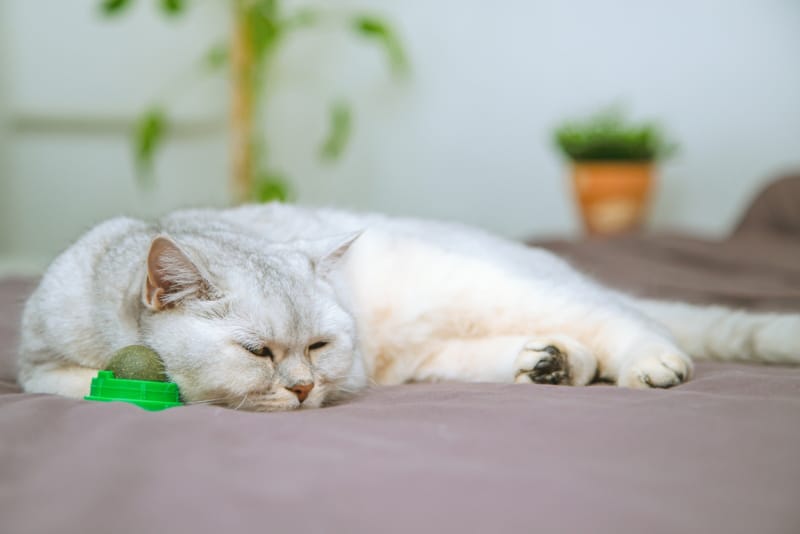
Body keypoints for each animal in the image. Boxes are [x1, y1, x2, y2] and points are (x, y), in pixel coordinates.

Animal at [18, 203, 800, 412]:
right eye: (258, 351)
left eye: (319, 347)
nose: (303, 387)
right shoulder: (37, 366)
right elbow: (74, 384)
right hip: (446, 347)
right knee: (568, 349)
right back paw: (549, 363)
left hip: (500, 287)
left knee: (632, 322)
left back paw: (650, 364)